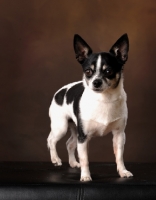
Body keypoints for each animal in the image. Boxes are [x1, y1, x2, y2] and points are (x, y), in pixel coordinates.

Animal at [47, 33, 133, 181]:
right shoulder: (83, 137)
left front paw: (123, 171)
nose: (96, 82)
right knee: (51, 139)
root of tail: (59, 92)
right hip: (61, 127)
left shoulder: (119, 135)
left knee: (69, 144)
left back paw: (73, 163)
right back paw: (55, 159)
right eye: (88, 71)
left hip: (75, 129)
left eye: (108, 71)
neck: (104, 98)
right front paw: (86, 176)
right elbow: (85, 159)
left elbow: (119, 157)